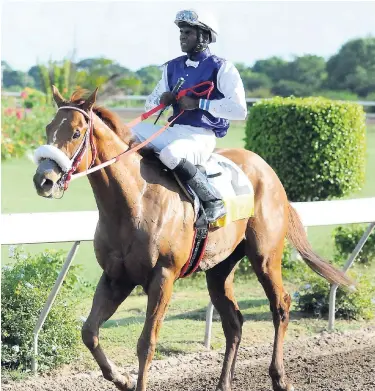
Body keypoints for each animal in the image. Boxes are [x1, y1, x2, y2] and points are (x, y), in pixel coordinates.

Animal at [32, 87, 352, 391]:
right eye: (48, 128)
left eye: (76, 132)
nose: (43, 180)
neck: (136, 201)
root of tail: (266, 169)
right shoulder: (116, 277)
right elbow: (89, 332)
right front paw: (122, 379)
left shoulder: (163, 276)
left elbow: (146, 343)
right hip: (220, 269)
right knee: (234, 322)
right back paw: (223, 383)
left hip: (265, 256)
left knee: (280, 307)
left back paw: (280, 378)